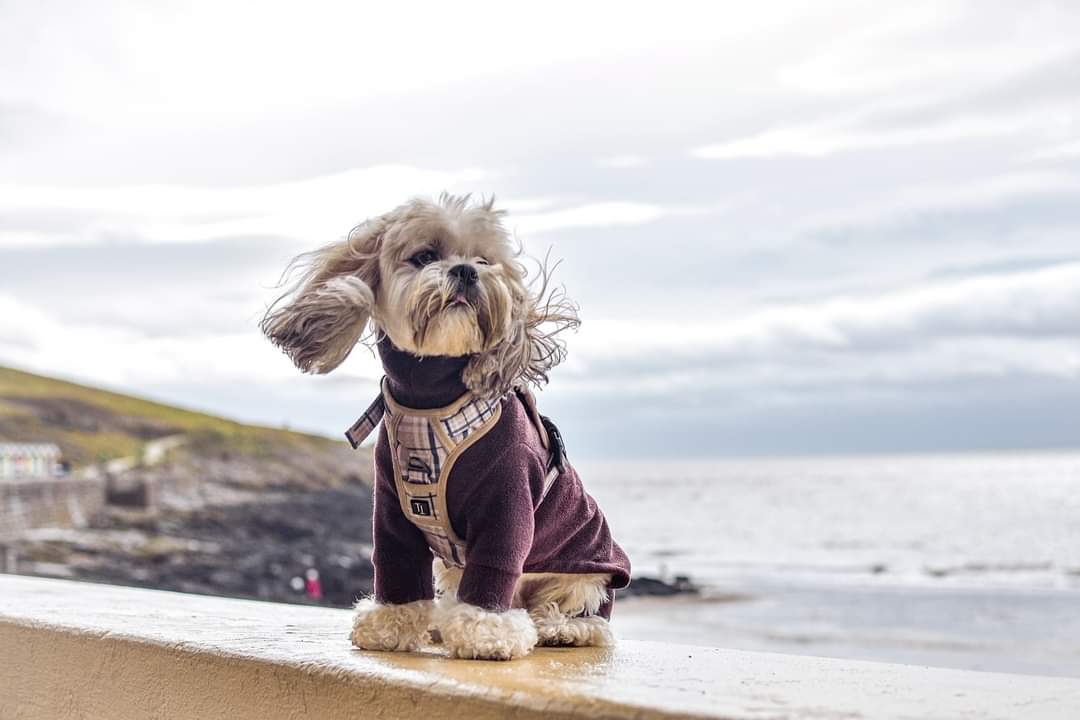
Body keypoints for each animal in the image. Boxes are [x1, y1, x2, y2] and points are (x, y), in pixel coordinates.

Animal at [261, 194, 630, 660]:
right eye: (425, 256)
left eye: (484, 260)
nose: (467, 271)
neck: (429, 399)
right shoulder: (391, 505)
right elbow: (396, 564)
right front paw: (391, 623)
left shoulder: (509, 499)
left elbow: (496, 562)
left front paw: (486, 631)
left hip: (583, 574)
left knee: (586, 615)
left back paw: (559, 628)